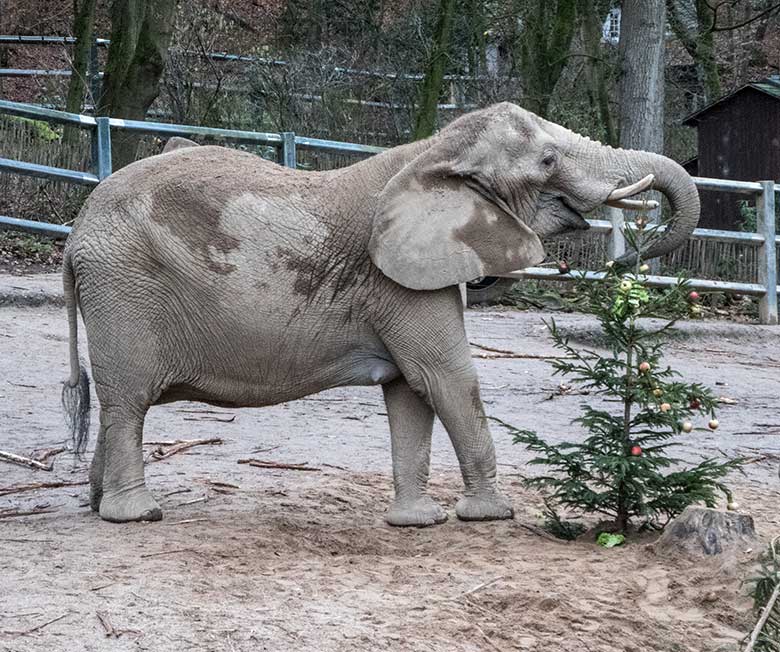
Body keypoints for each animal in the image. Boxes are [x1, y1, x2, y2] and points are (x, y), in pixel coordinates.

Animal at [62, 104, 700, 528]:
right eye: (547, 160)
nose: (626, 260)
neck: (437, 150)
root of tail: (75, 233)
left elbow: (410, 391)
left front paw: (418, 523)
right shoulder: (396, 279)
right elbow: (446, 376)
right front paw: (491, 516)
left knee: (120, 406)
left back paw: (96, 504)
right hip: (126, 287)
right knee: (129, 400)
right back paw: (136, 515)